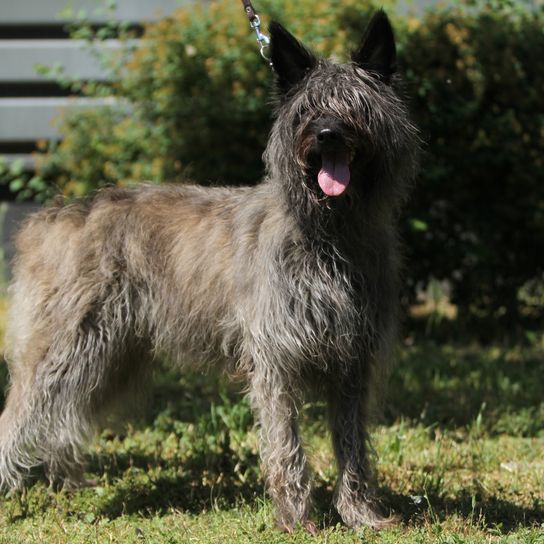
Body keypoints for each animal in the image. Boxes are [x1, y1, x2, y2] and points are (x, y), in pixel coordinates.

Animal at [0, 10, 416, 532]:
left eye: (355, 105)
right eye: (306, 110)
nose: (327, 135)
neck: (328, 234)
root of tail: (52, 216)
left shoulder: (352, 365)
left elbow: (352, 446)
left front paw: (361, 515)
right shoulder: (276, 361)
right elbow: (286, 446)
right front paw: (297, 519)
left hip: (108, 358)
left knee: (64, 418)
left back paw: (68, 482)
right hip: (62, 350)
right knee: (18, 418)